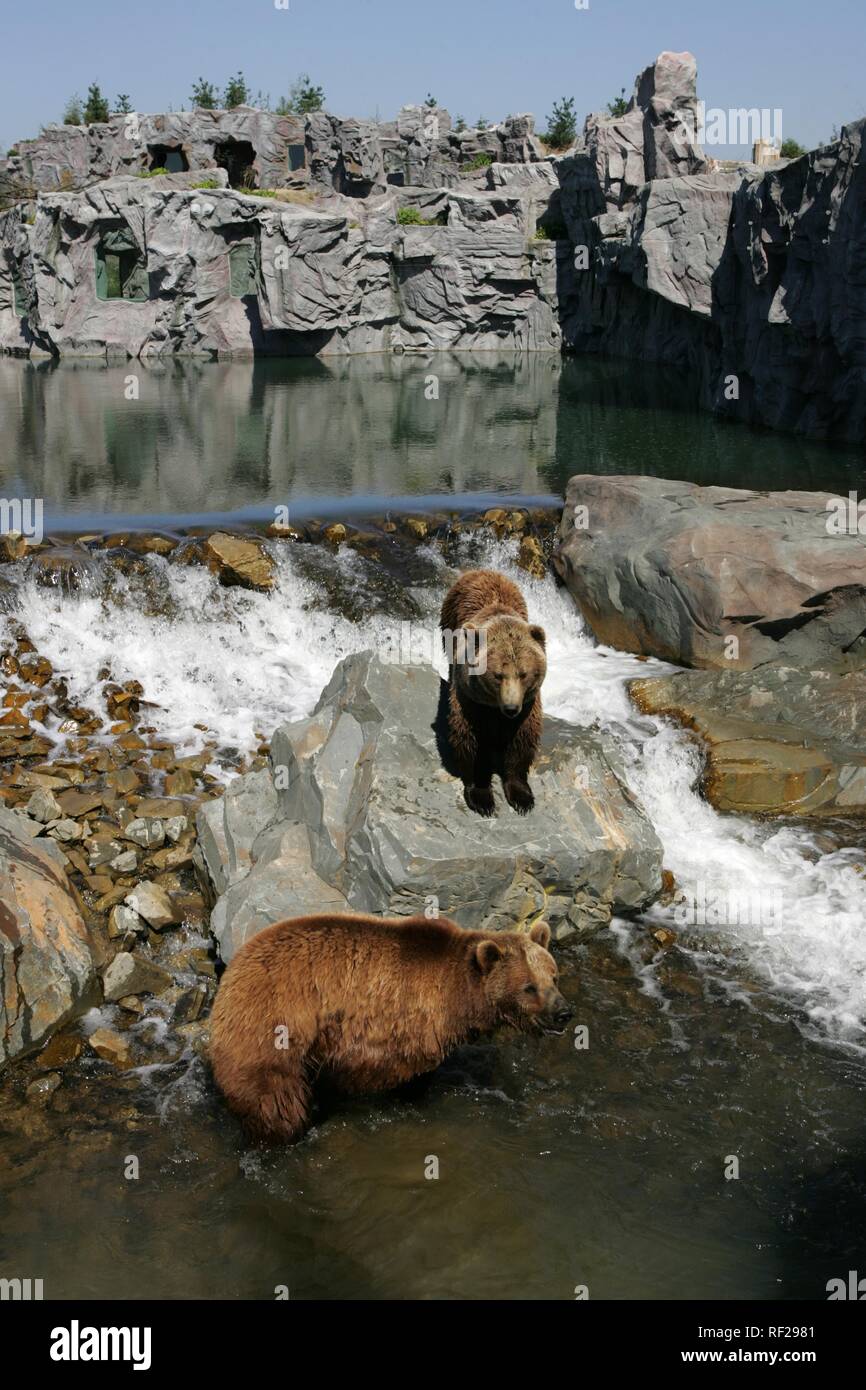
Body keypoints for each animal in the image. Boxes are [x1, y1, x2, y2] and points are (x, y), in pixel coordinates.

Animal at [204, 911, 569, 1139]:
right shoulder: (404, 1030)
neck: (458, 996)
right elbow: (402, 1073)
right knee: (275, 1102)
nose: (564, 1013)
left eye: (553, 976)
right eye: (529, 987)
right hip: (272, 1033)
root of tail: (231, 973)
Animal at [444, 569, 544, 817]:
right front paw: (482, 798)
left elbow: (521, 742)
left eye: (523, 674)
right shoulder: (470, 701)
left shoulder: (528, 705)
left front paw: (522, 797)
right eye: (498, 675)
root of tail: (482, 571)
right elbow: (472, 742)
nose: (511, 708)